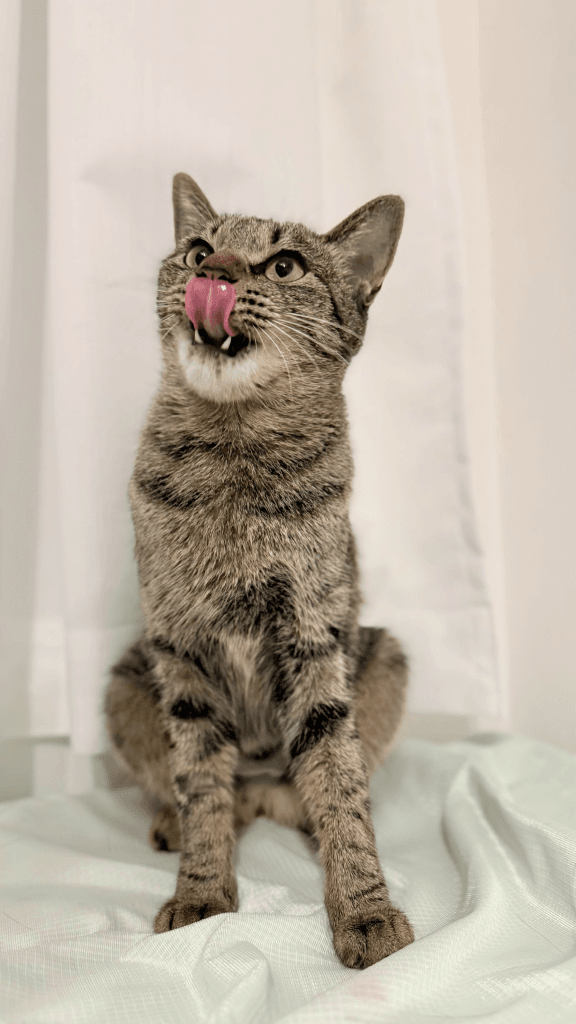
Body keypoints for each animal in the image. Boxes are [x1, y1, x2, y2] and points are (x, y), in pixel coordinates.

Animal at [105, 172, 414, 969]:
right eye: (197, 249)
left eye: (284, 266)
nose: (213, 272)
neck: (234, 455)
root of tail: (268, 791)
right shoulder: (177, 645)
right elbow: (201, 783)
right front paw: (202, 889)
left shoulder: (314, 636)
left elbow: (338, 780)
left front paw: (364, 908)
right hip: (124, 684)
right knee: (200, 790)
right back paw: (175, 823)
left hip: (384, 655)